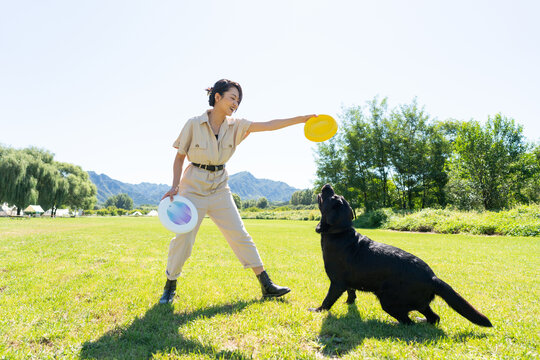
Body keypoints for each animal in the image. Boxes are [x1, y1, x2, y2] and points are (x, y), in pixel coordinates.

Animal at [312, 184, 494, 328]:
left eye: (332, 197)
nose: (327, 185)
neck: (340, 232)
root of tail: (433, 277)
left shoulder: (337, 283)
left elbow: (328, 301)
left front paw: (317, 310)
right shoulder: (348, 282)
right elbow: (351, 292)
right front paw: (349, 304)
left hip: (388, 300)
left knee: (408, 321)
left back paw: (395, 324)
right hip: (419, 303)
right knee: (434, 318)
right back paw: (422, 320)